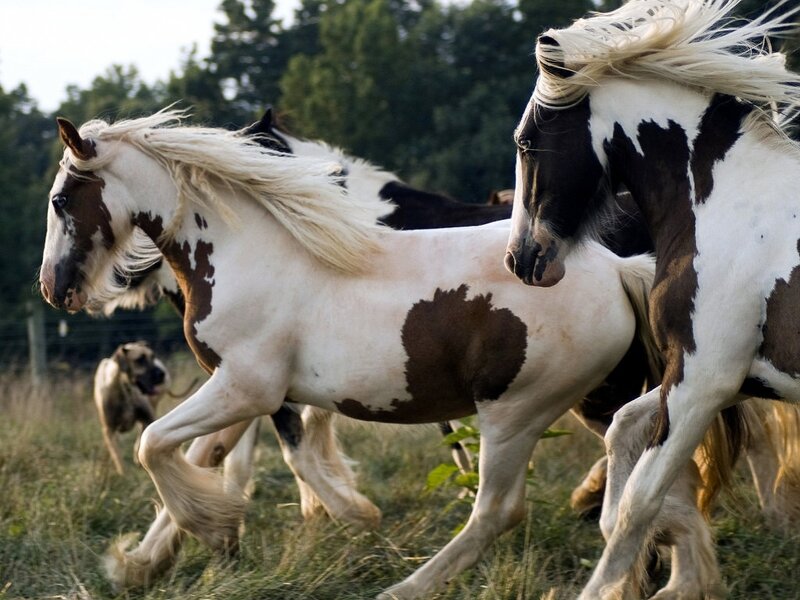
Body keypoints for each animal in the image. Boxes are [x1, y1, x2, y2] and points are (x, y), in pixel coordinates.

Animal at [39, 109, 663, 599]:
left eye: (60, 199)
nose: (54, 287)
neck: (251, 252)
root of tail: (617, 269)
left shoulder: (248, 389)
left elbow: (154, 445)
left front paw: (233, 529)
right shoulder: (245, 392)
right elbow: (201, 455)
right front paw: (144, 564)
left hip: (517, 413)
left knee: (500, 510)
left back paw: (406, 588)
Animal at [504, 0, 800, 597]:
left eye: (525, 142)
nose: (521, 258)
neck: (732, 207)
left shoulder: (703, 382)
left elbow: (638, 503)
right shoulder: (730, 376)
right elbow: (622, 433)